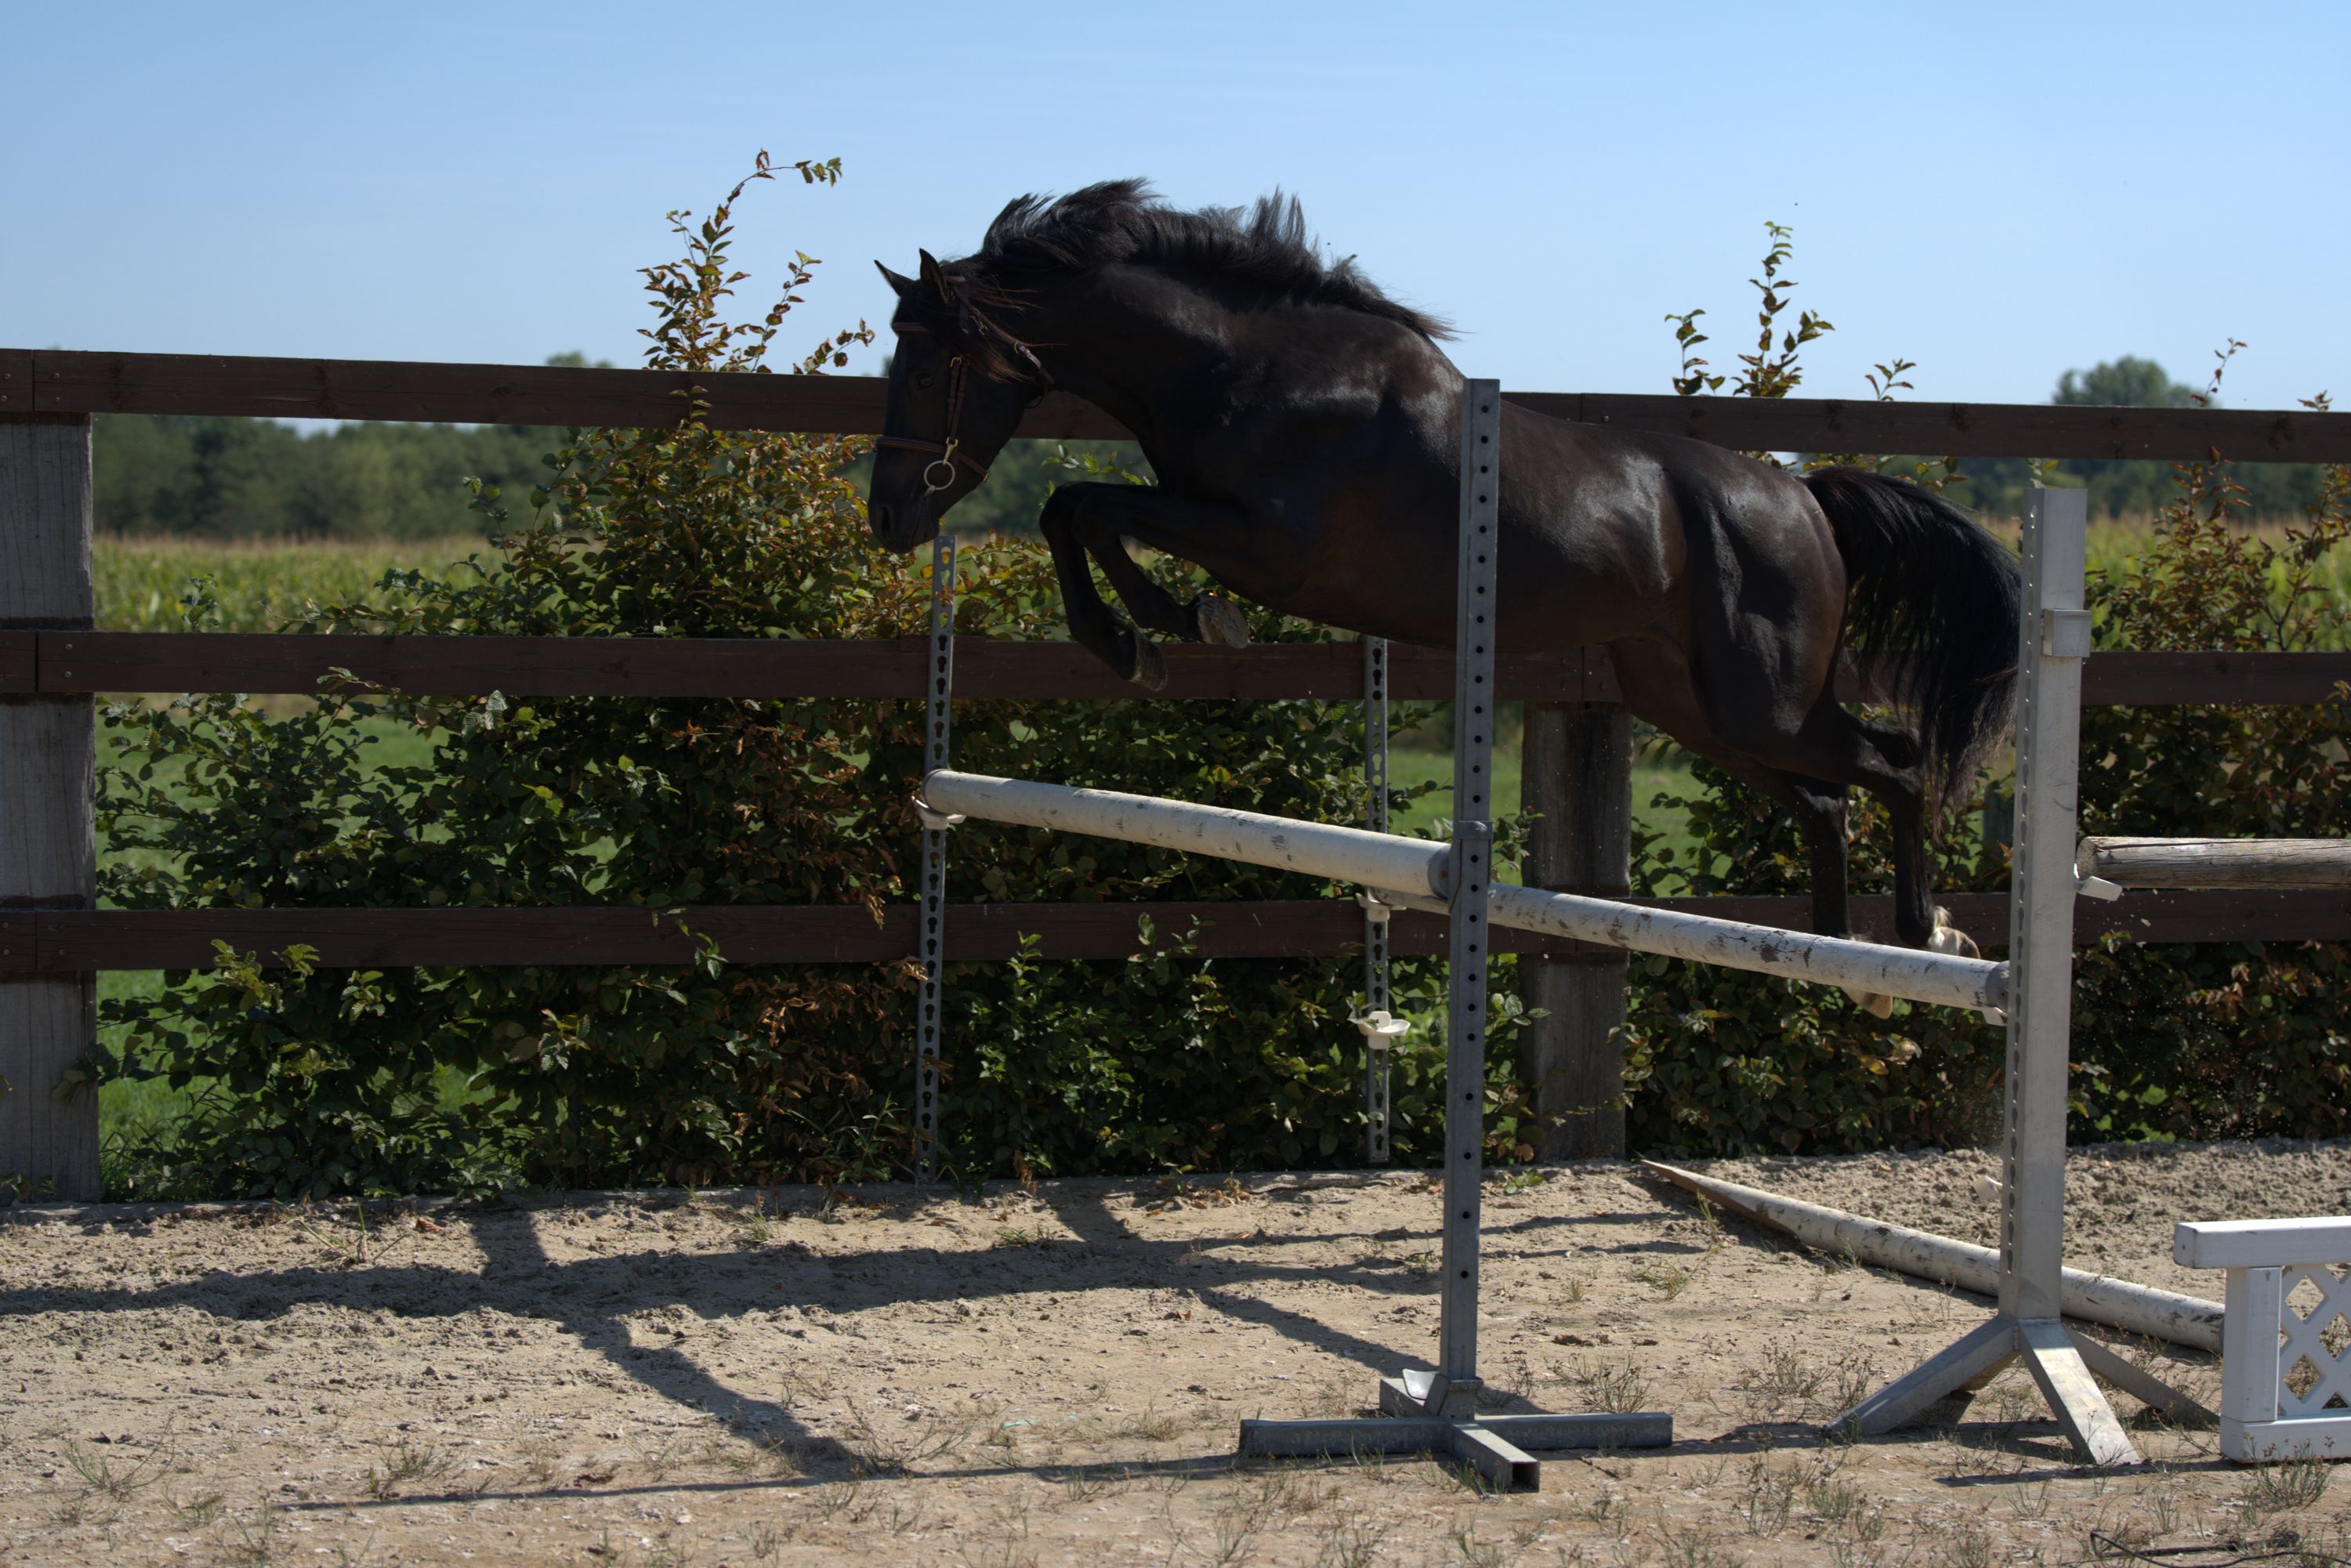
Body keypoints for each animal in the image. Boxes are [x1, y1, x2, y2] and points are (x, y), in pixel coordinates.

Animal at [865, 180, 2020, 988]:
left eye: (923, 372)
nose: (890, 519)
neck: (1247, 365)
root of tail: (1805, 500)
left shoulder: (1267, 545)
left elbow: (1087, 505)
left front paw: (1149, 629)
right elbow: (1079, 508)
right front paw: (1146, 629)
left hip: (1759, 700)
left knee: (1897, 765)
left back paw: (1926, 935)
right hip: (1690, 704)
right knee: (1829, 801)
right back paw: (1842, 964)